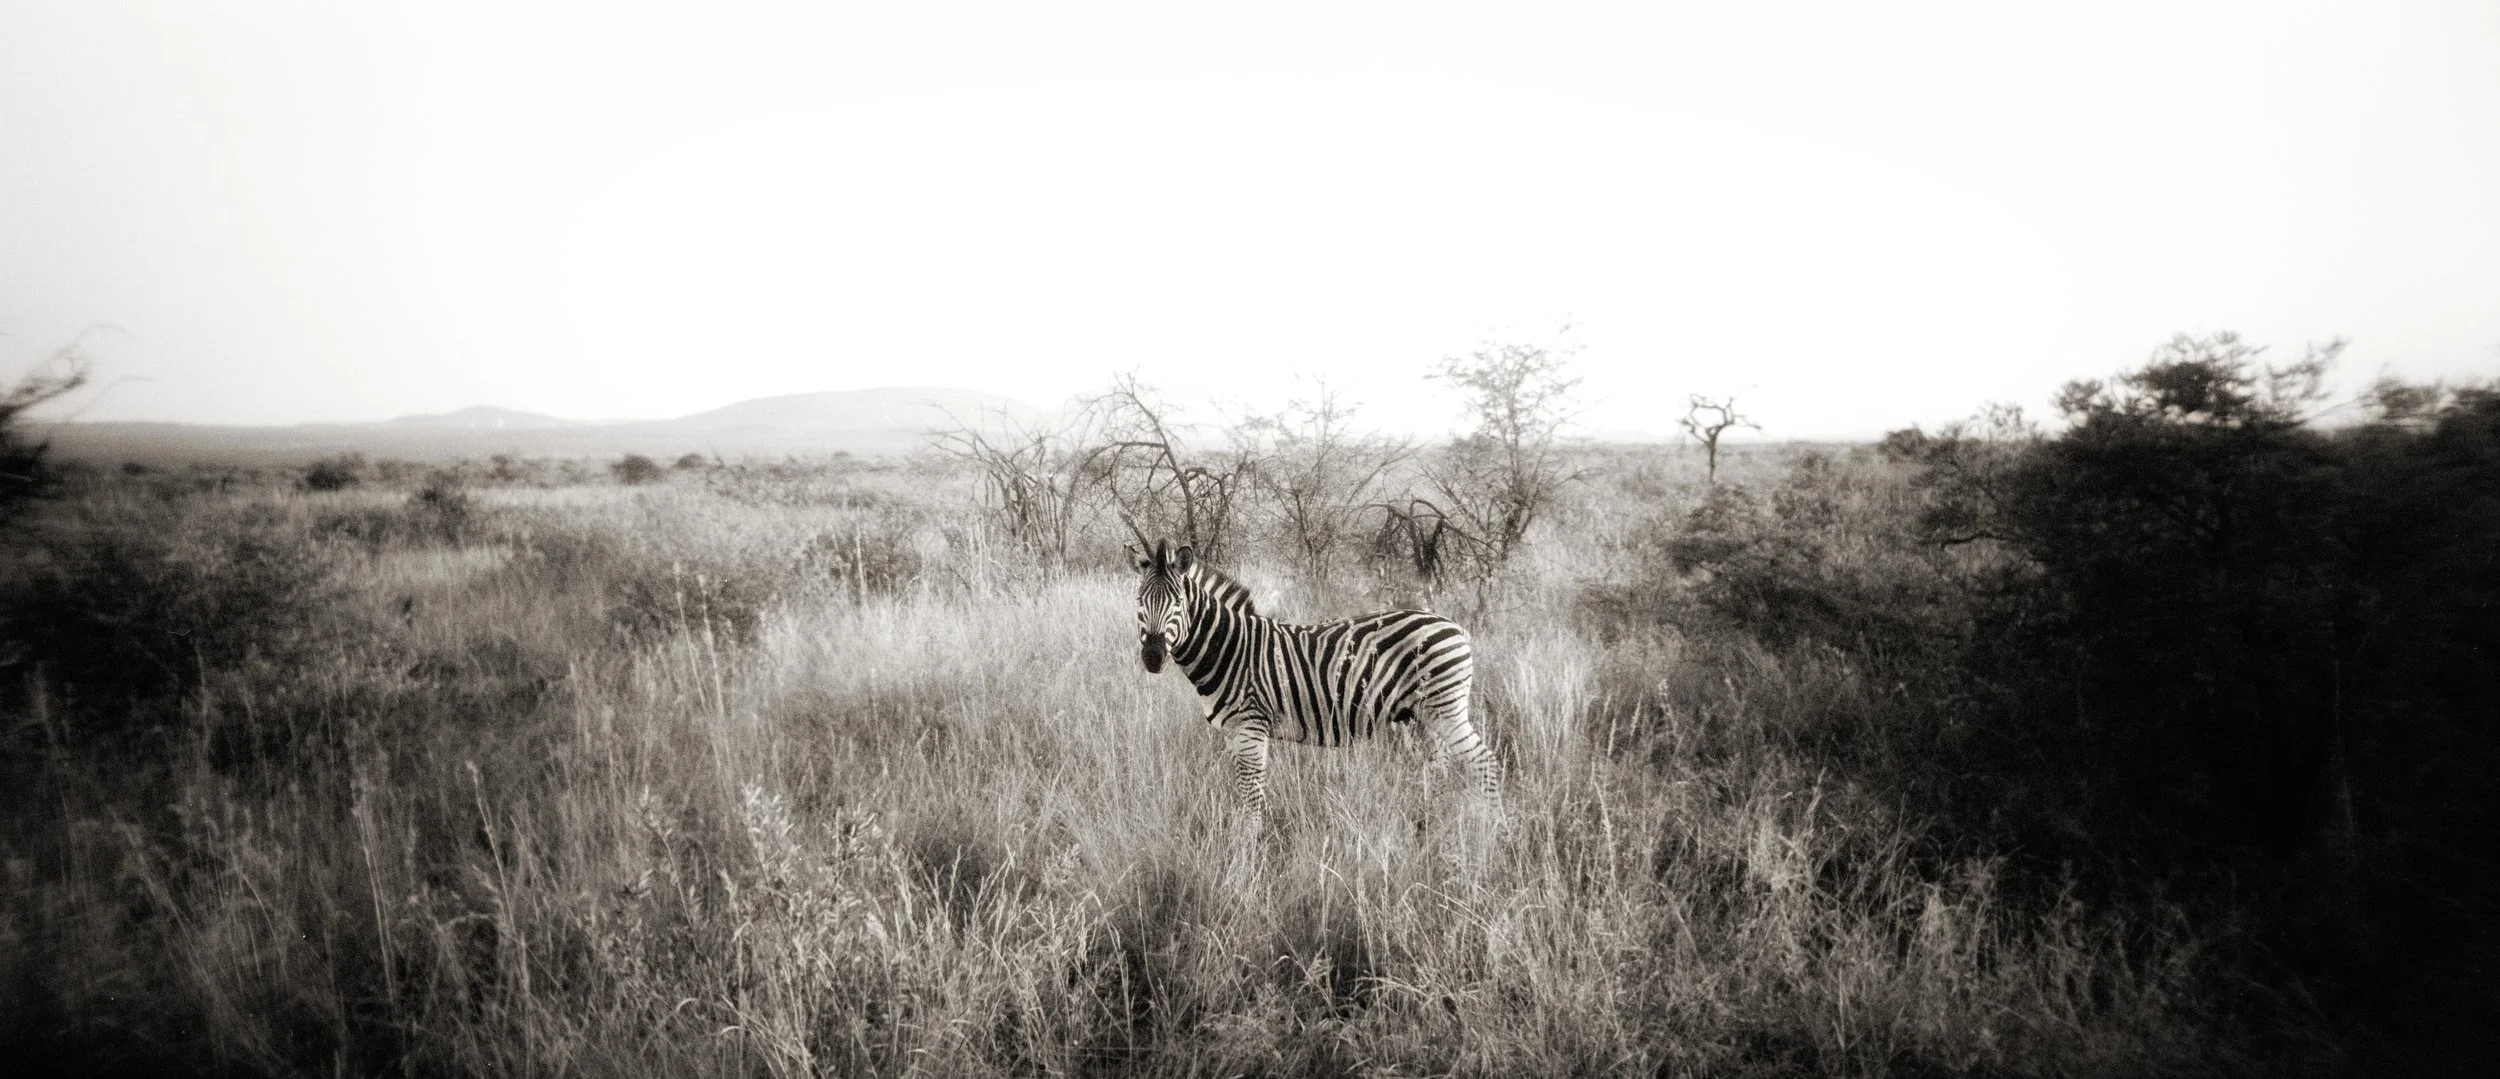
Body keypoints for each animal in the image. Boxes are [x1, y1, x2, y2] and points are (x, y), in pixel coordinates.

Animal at [1123, 530, 1504, 829]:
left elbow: (1252, 798)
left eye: (1178, 603)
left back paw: (1492, 830)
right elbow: (1243, 793)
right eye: (1140, 601)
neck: (1229, 648)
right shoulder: (1232, 732)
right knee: (1439, 769)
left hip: (1445, 710)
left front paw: (1249, 854)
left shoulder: (1251, 726)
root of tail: (1455, 626)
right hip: (1424, 716)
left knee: (1484, 762)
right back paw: (1431, 821)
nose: (1152, 657)